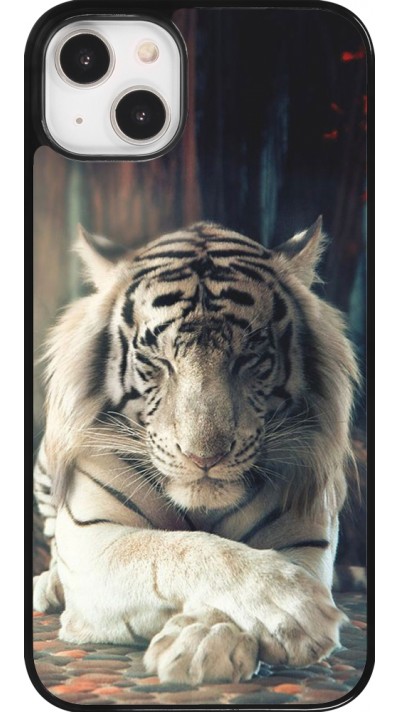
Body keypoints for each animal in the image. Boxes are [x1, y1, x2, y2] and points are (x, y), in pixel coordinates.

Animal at [33, 217, 359, 685]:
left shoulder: (306, 538)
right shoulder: (94, 539)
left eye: (249, 357)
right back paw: (48, 585)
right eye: (157, 361)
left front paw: (205, 641)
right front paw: (291, 607)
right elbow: (180, 548)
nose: (204, 457)